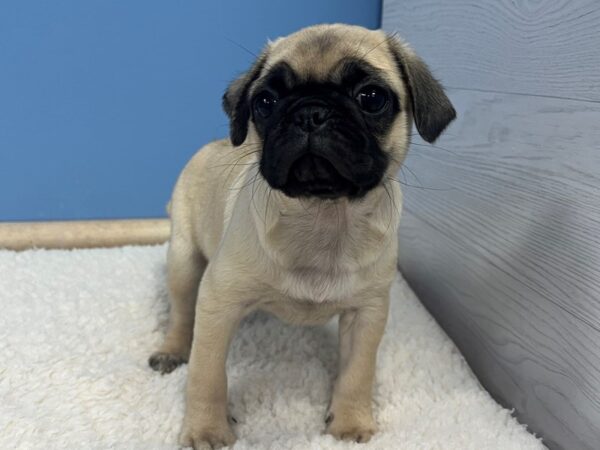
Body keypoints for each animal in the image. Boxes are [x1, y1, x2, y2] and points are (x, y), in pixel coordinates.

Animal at [149, 23, 454, 446]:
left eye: (372, 97)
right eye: (265, 101)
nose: (311, 112)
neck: (324, 217)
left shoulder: (367, 313)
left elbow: (357, 374)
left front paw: (349, 423)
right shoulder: (218, 302)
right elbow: (206, 374)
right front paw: (206, 429)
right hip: (183, 259)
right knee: (181, 312)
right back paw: (172, 350)